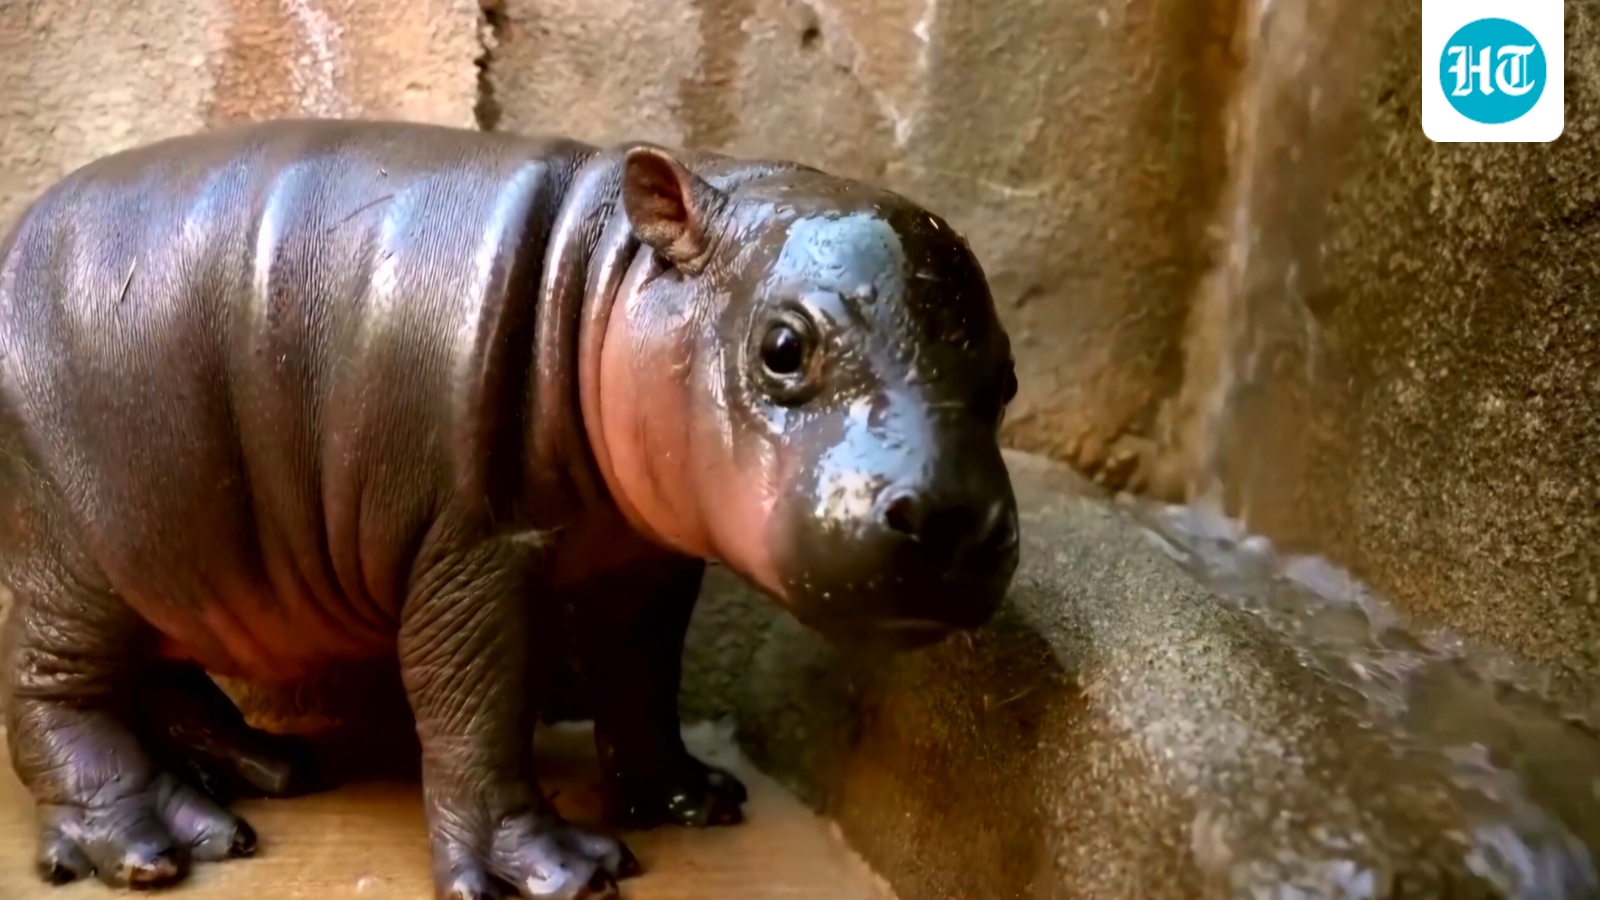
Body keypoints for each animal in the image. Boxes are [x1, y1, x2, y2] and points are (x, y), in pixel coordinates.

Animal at [0, 118, 1020, 900]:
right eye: (782, 346)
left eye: (1007, 379)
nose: (952, 517)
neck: (606, 274)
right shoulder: (473, 547)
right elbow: (476, 702)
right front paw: (560, 870)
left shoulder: (642, 557)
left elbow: (643, 674)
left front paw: (693, 797)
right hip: (77, 547)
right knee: (52, 685)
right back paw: (153, 841)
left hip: (170, 559)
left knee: (155, 673)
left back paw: (269, 770)